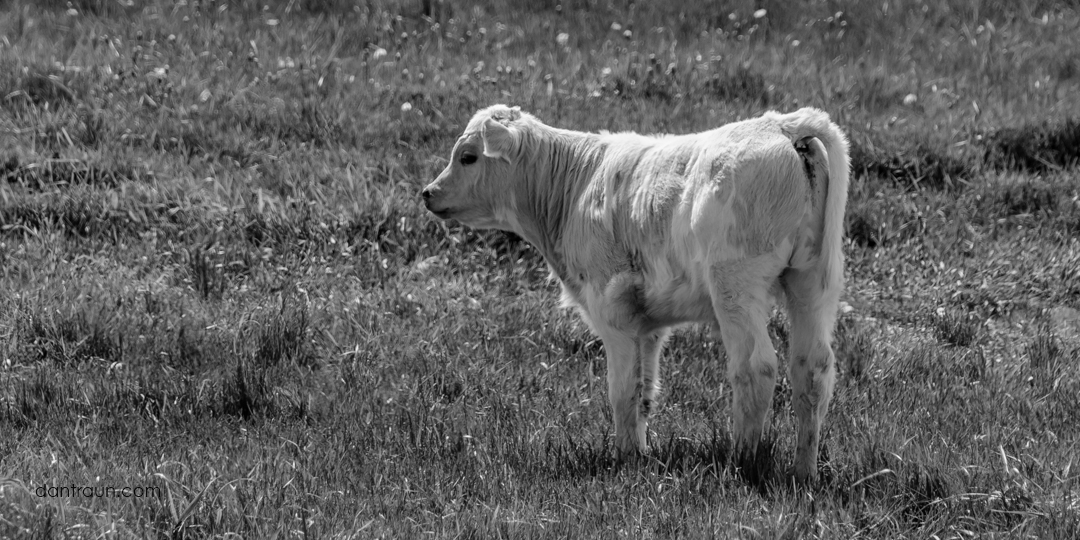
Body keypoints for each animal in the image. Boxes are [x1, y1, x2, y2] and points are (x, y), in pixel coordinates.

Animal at [422, 104, 850, 484]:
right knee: (812, 369)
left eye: (468, 157)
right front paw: (641, 455)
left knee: (756, 368)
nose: (428, 192)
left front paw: (624, 460)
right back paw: (804, 472)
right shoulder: (649, 325)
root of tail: (782, 124)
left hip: (735, 285)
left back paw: (741, 463)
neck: (574, 189)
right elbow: (645, 391)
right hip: (814, 282)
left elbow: (622, 391)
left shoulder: (613, 311)